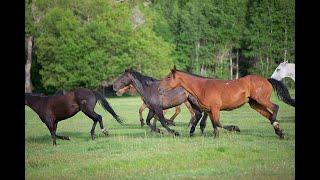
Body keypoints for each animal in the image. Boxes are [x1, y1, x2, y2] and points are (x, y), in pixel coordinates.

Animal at [159, 65, 296, 139]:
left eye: (168, 77)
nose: (159, 89)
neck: (203, 87)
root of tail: (267, 80)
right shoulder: (210, 111)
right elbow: (214, 125)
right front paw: (216, 137)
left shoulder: (215, 108)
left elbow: (218, 123)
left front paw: (235, 128)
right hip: (255, 104)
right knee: (269, 114)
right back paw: (280, 132)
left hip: (261, 99)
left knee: (275, 107)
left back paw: (276, 125)